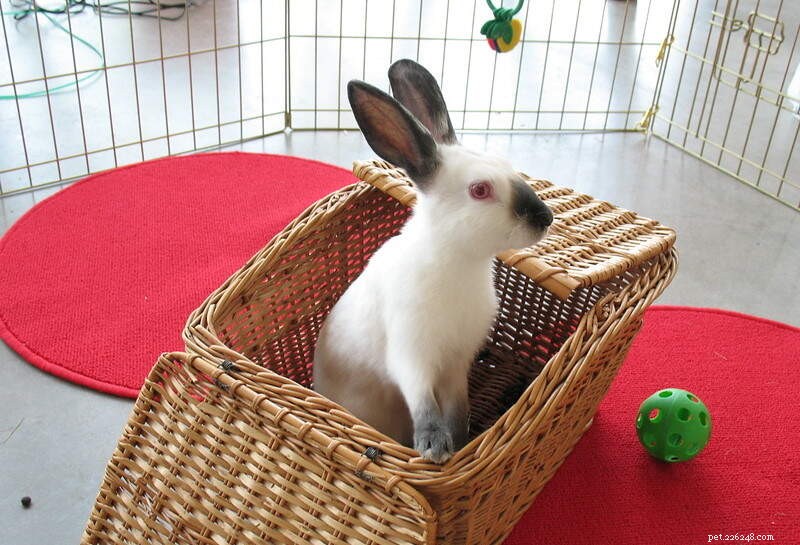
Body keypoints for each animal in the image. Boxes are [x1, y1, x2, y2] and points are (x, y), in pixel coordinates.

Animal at [313, 59, 553, 463]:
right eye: (480, 190)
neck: (458, 261)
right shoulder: (412, 355)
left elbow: (457, 407)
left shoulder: (457, 365)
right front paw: (434, 447)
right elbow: (423, 402)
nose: (545, 218)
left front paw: (460, 438)